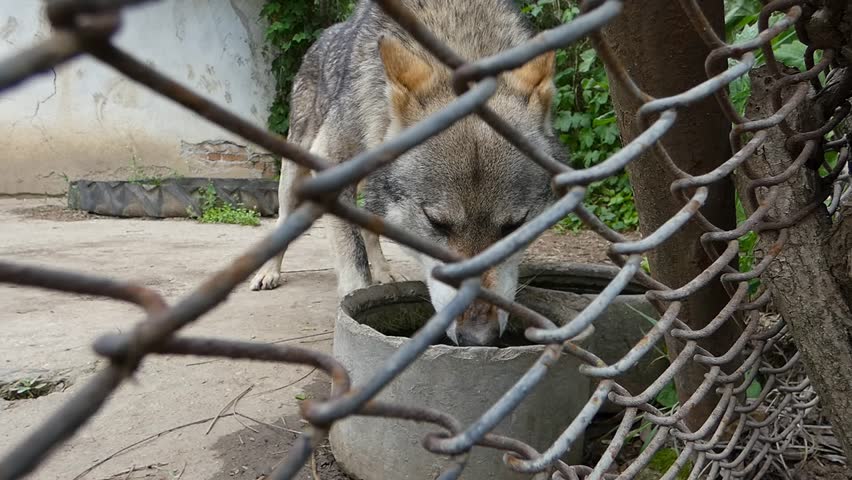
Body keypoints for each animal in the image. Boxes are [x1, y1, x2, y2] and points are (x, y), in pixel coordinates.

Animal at [249, 0, 567, 346]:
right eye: (437, 223)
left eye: (514, 227)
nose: (478, 338)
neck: (458, 36)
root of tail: (324, 35)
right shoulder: (331, 161)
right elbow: (353, 263)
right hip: (295, 173)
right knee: (285, 220)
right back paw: (269, 272)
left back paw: (384, 273)